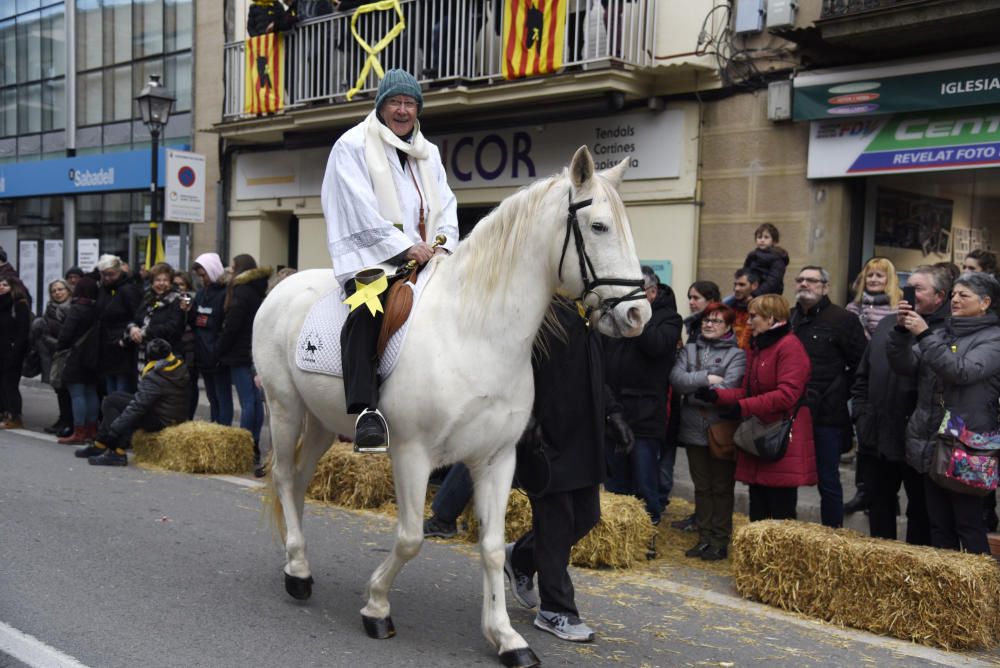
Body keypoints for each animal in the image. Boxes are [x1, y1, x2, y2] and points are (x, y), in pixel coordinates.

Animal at [254, 147, 652, 668]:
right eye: (600, 226)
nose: (638, 314)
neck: (474, 331)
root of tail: (282, 286)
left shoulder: (497, 459)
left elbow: (493, 548)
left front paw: (506, 637)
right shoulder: (412, 453)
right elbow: (409, 539)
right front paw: (376, 607)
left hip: (321, 421)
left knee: (299, 480)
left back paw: (297, 561)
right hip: (284, 407)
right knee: (283, 475)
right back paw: (297, 572)